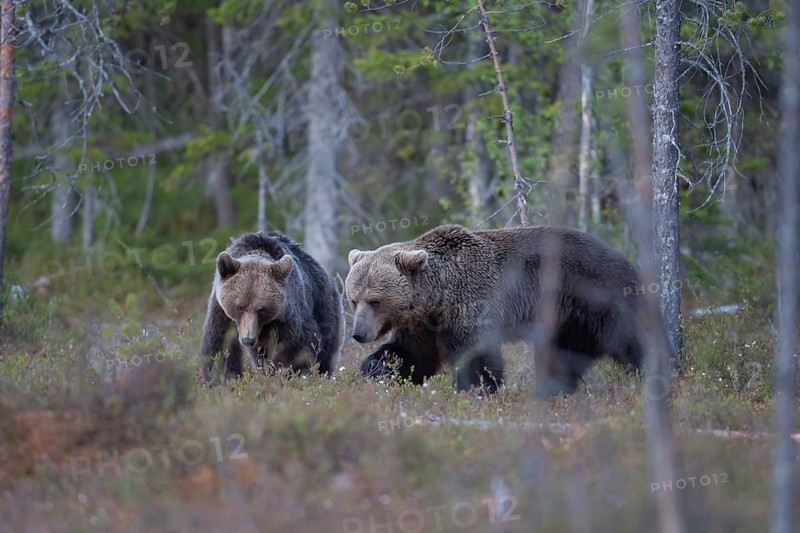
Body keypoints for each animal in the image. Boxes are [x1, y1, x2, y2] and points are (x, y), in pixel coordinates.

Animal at [198, 231, 343, 385]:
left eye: (262, 309)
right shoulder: (221, 312)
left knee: (326, 347)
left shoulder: (287, 314)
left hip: (324, 306)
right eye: (240, 307)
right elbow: (219, 345)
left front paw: (291, 374)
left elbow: (298, 347)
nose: (248, 340)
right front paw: (223, 379)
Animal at [345, 224, 656, 397]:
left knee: (632, 340)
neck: (437, 298)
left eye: (375, 300)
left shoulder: (471, 304)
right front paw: (377, 369)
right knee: (563, 356)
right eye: (353, 299)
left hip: (598, 297)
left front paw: (476, 390)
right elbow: (412, 354)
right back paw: (554, 392)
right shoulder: (423, 323)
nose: (358, 334)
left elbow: (475, 356)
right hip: (568, 321)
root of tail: (625, 260)